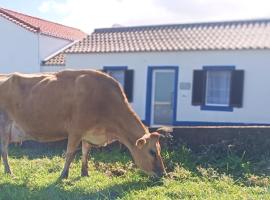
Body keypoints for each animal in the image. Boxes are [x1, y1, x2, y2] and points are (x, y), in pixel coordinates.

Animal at [0, 70, 166, 178]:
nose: (163, 173)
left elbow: (86, 152)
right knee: (4, 150)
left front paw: (85, 173)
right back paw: (10, 173)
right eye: (152, 152)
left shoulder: (88, 133)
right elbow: (70, 153)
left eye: (159, 150)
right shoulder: (75, 130)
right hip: (4, 125)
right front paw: (63, 175)